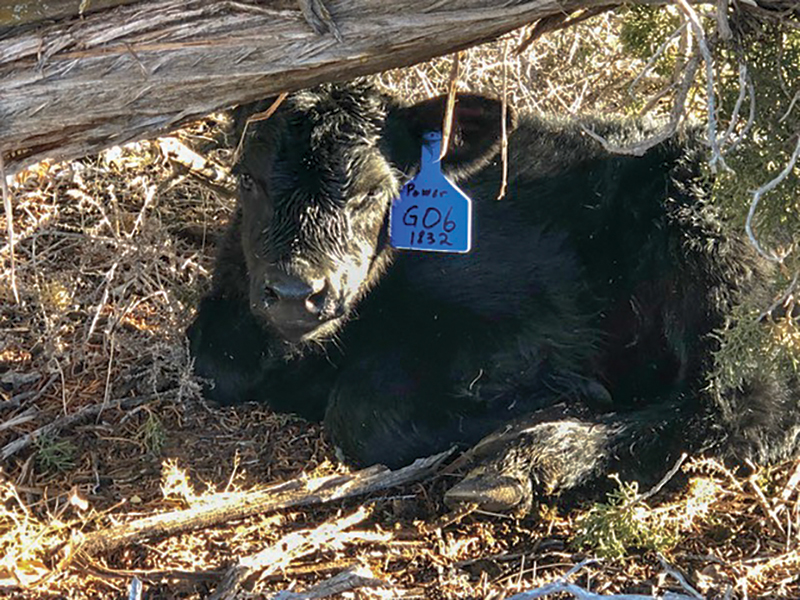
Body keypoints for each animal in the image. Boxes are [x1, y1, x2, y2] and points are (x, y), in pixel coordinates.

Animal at [186, 80, 800, 512]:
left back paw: (537, 457)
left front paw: (547, 404)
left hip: (706, 249)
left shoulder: (540, 327)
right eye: (247, 178)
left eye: (373, 192)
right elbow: (212, 358)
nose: (296, 293)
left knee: (745, 405)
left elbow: (361, 410)